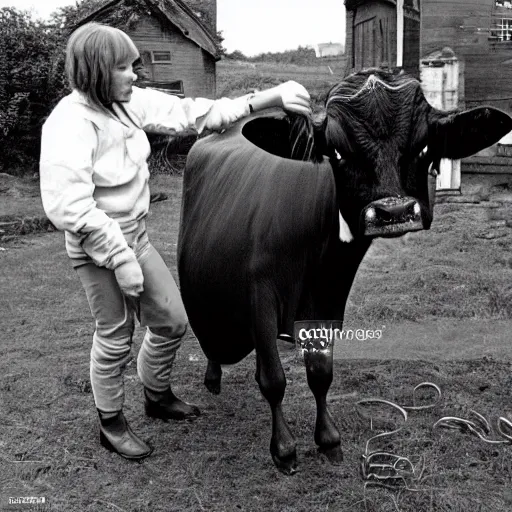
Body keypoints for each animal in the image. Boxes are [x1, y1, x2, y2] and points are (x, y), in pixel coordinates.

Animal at [177, 69, 512, 472]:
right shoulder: (260, 299)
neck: (313, 256)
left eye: (424, 146)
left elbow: (321, 374)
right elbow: (273, 379)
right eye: (338, 152)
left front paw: (328, 440)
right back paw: (213, 376)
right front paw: (284, 449)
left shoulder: (328, 298)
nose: (393, 212)